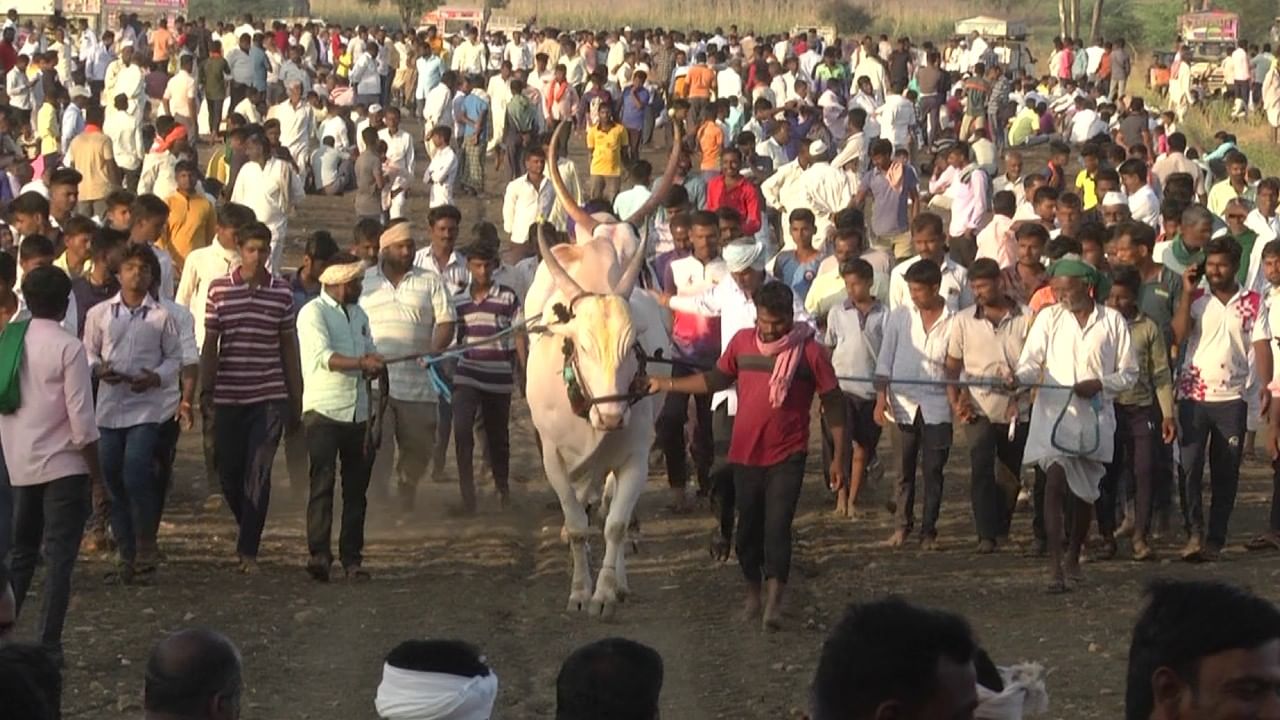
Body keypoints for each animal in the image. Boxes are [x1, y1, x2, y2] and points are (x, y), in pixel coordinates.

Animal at [522, 122, 680, 617]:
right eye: (579, 345)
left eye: (634, 347)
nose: (611, 415)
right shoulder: (553, 456)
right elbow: (577, 523)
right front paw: (578, 590)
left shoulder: (634, 456)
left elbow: (615, 522)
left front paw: (608, 590)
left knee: (609, 506)